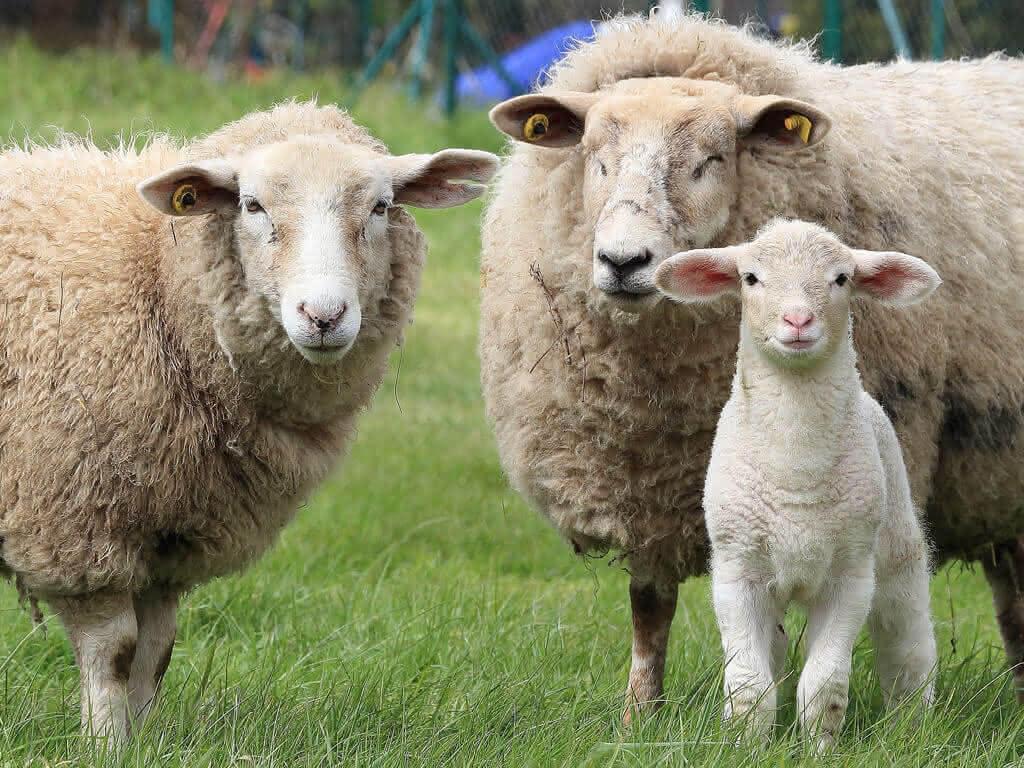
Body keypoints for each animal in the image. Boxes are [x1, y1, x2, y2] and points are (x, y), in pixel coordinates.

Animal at [0, 101, 498, 742]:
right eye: (252, 205)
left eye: (381, 206)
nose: (323, 315)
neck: (155, 279)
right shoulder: (74, 523)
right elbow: (114, 651)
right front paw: (105, 742)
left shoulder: (171, 537)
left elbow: (155, 651)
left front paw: (144, 742)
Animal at [655, 219, 939, 749]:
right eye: (750, 277)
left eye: (842, 278)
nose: (798, 320)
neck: (796, 471)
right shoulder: (737, 572)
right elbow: (749, 686)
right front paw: (746, 746)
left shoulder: (850, 576)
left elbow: (824, 685)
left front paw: (821, 748)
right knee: (775, 651)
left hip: (895, 548)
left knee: (907, 643)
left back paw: (912, 727)